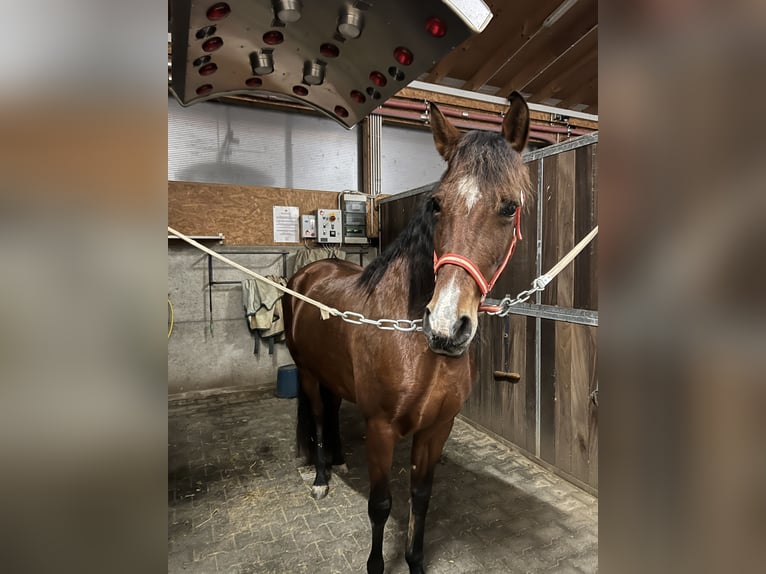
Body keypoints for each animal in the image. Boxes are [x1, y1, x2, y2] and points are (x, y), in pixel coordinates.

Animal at [284, 92, 536, 572]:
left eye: (509, 207)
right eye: (436, 203)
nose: (446, 326)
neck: (417, 346)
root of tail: (310, 271)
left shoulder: (437, 428)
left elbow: (421, 498)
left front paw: (416, 561)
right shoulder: (381, 430)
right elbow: (381, 505)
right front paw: (377, 564)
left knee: (331, 410)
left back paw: (339, 461)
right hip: (306, 373)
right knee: (320, 418)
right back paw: (322, 476)